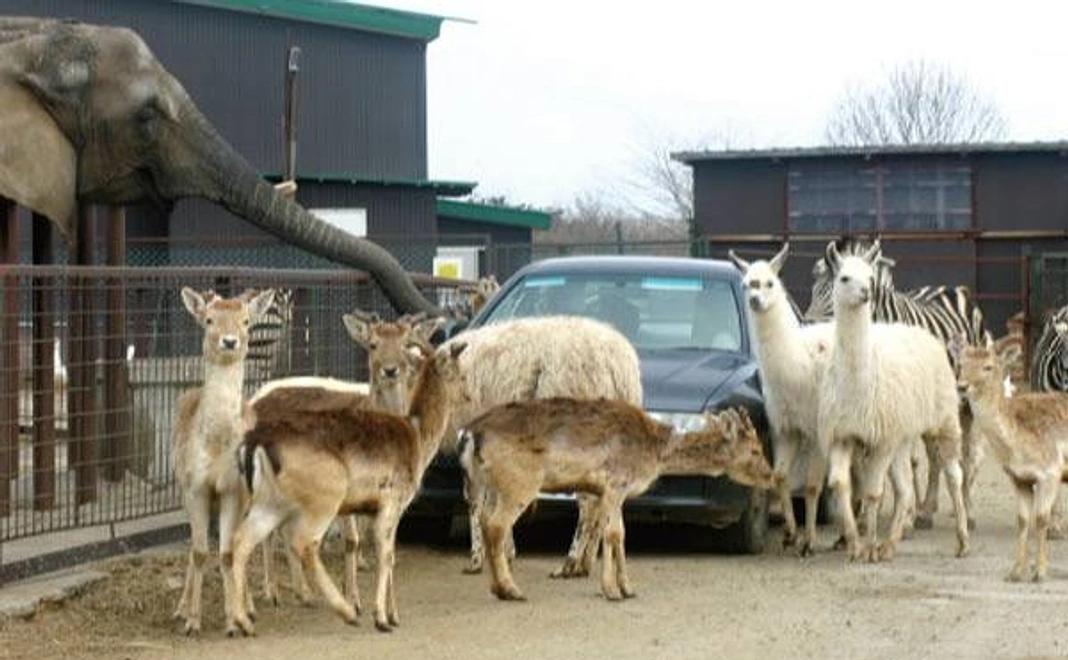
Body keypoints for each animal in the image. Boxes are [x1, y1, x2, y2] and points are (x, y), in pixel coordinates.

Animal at [457, 401, 768, 602]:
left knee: (484, 520)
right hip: (520, 481)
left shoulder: (612, 492)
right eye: (755, 449)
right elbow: (612, 533)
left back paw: (497, 588)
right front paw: (611, 590)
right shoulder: (615, 484)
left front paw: (628, 588)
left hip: (490, 482)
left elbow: (620, 534)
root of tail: (471, 433)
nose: (770, 476)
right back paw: (512, 590)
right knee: (497, 525)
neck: (654, 452)